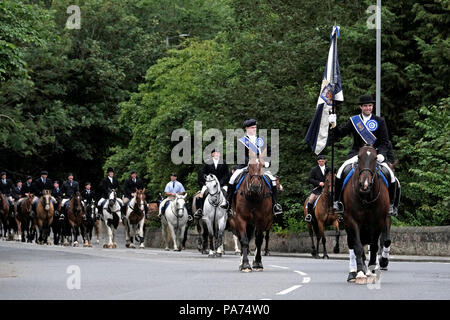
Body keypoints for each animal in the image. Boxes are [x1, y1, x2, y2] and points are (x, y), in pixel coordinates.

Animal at [342, 144, 388, 284]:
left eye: (375, 158)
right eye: (358, 157)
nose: (365, 184)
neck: (366, 197)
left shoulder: (379, 222)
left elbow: (374, 247)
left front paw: (371, 271)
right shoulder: (352, 221)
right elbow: (357, 247)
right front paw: (360, 273)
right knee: (353, 245)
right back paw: (353, 272)